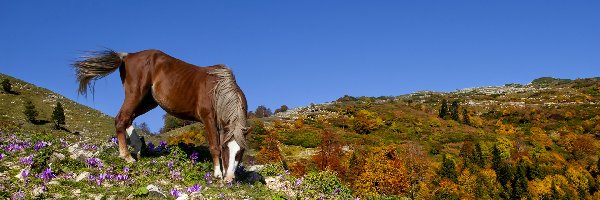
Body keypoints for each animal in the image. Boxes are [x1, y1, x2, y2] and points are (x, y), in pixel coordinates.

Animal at [72, 49, 248, 182]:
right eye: (225, 148)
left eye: (241, 152)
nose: (229, 179)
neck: (218, 90)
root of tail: (127, 56)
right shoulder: (208, 119)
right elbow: (214, 146)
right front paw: (218, 174)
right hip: (135, 94)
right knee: (121, 119)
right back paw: (127, 156)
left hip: (148, 102)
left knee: (129, 118)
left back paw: (138, 148)